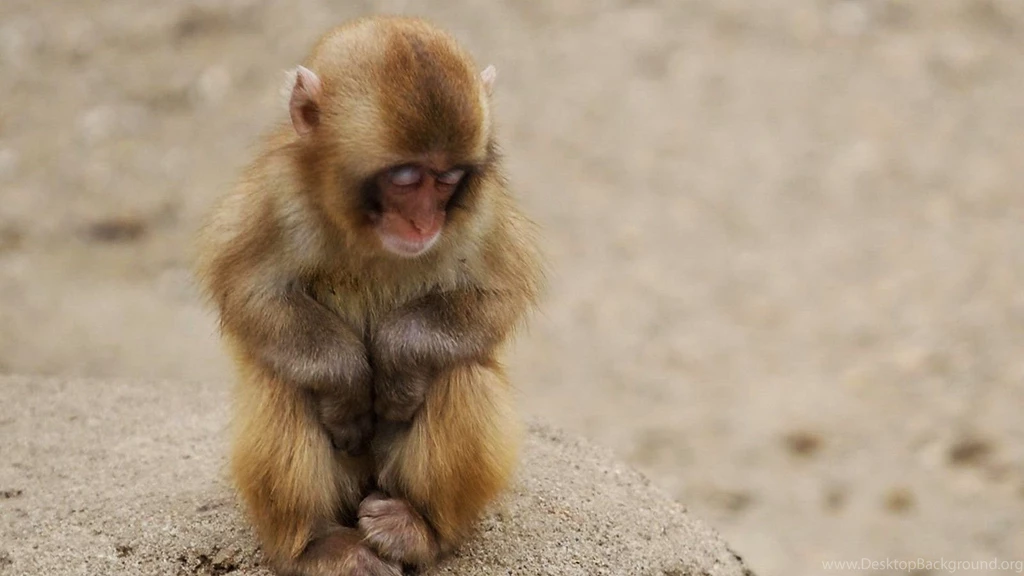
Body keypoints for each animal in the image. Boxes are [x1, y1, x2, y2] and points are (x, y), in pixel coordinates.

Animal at [194, 15, 542, 576]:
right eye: (405, 177)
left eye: (447, 178)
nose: (424, 222)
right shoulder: (275, 194)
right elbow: (248, 289)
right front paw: (347, 384)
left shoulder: (481, 210)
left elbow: (498, 293)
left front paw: (398, 360)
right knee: (281, 381)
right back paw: (315, 545)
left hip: (386, 473)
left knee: (461, 372)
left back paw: (419, 529)